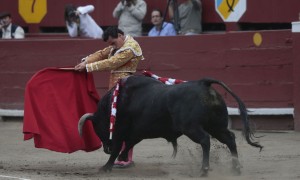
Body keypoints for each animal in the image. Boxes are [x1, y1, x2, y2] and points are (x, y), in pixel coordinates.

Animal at [78, 74, 262, 176]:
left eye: (98, 128)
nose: (105, 149)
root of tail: (203, 83)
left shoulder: (120, 131)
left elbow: (119, 146)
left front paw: (106, 167)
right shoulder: (136, 131)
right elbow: (129, 144)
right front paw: (121, 159)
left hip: (191, 128)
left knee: (205, 140)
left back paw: (204, 169)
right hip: (216, 125)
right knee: (230, 139)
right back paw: (236, 168)